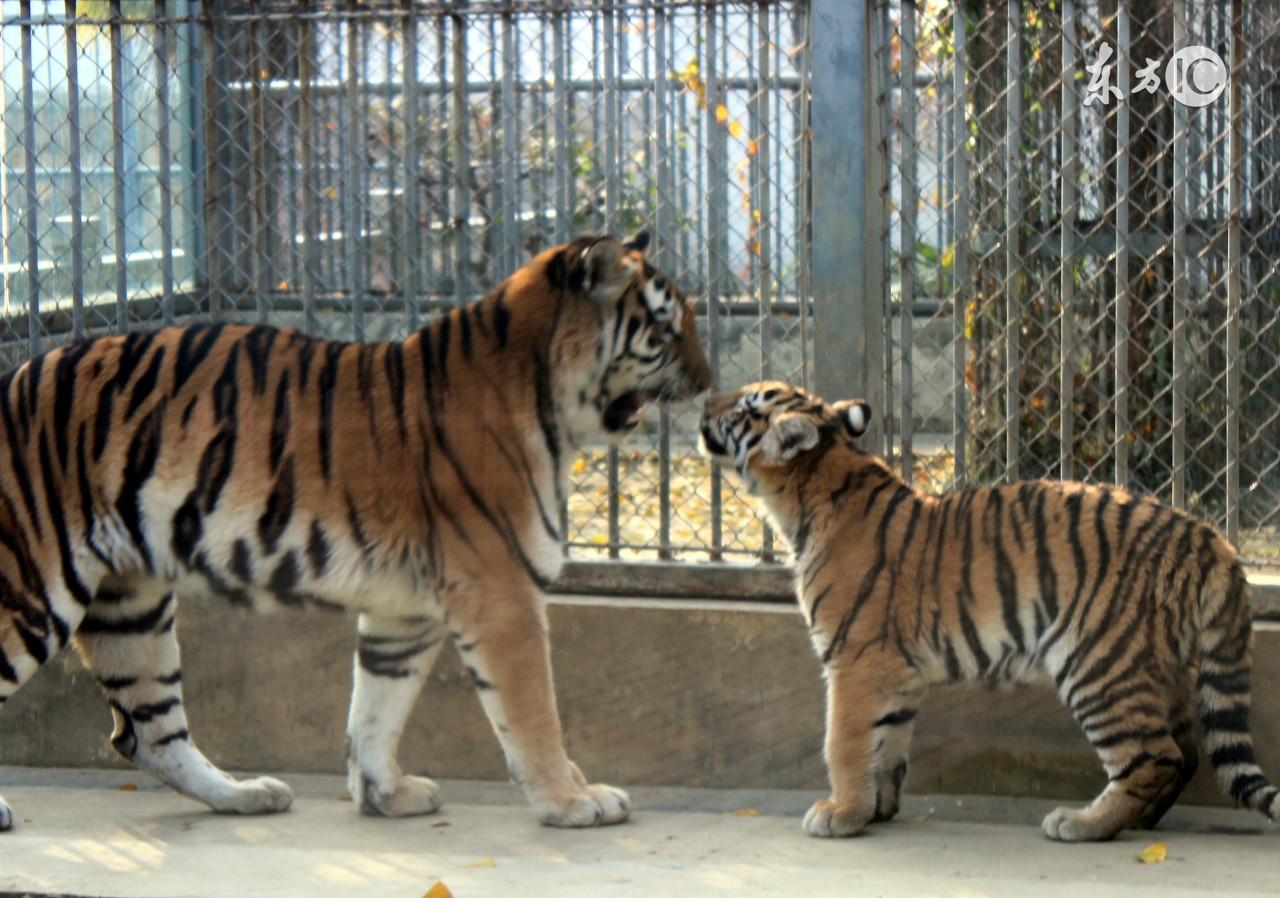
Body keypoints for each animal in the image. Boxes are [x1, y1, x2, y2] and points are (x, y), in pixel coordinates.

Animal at [0, 232, 716, 828]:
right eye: (665, 327)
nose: (710, 383)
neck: (549, 403)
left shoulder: (406, 611)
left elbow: (377, 707)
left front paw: (384, 794)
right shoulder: (502, 593)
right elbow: (533, 713)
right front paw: (570, 801)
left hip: (131, 605)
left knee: (147, 733)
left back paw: (244, 795)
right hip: (33, 590)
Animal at [701, 381, 1280, 844]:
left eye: (744, 407)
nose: (705, 399)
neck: (810, 489)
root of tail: (1209, 537)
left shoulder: (856, 661)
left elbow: (843, 741)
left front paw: (840, 813)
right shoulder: (898, 675)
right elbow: (887, 744)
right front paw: (876, 809)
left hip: (1100, 663)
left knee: (1155, 756)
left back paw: (1083, 824)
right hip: (1161, 667)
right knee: (1186, 752)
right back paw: (1134, 822)